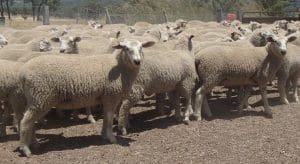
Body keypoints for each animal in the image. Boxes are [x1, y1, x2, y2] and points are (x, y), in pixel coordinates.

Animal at [17, 38, 155, 156]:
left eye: (141, 47)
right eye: (126, 48)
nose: (137, 61)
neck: (121, 68)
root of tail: (23, 73)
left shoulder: (106, 98)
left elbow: (105, 118)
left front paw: (103, 135)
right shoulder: (111, 96)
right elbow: (109, 119)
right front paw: (111, 137)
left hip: (35, 100)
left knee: (30, 122)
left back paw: (34, 144)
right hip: (41, 97)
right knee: (25, 122)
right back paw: (25, 149)